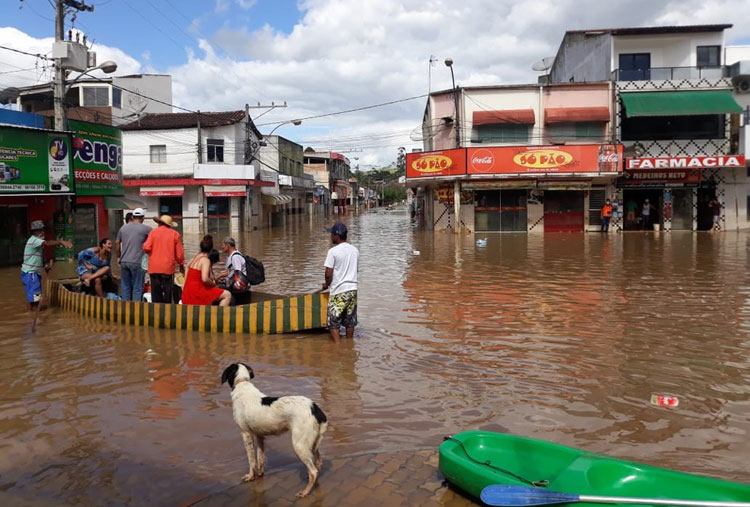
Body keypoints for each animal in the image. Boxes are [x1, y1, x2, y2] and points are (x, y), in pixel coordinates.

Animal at [222, 364, 330, 498]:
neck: (242, 383)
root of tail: (315, 408)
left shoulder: (246, 433)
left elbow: (251, 460)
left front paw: (251, 476)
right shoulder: (259, 435)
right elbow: (260, 458)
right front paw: (260, 474)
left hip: (299, 445)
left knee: (313, 471)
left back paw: (305, 492)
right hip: (313, 443)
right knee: (318, 463)